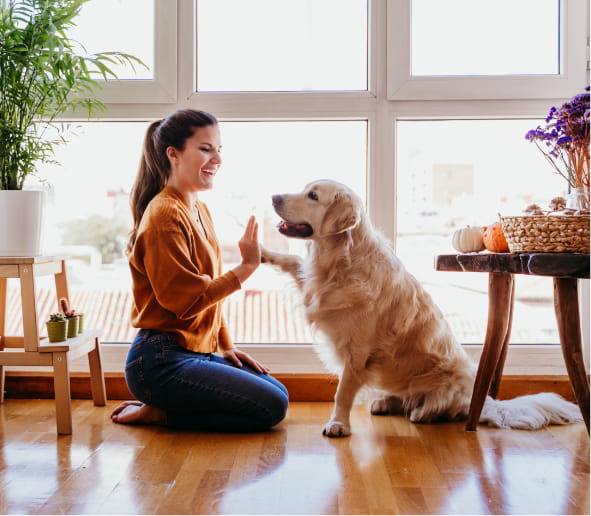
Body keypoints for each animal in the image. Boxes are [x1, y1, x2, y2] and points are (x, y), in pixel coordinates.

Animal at [262, 179, 584, 438]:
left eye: (313, 196)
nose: (274, 197)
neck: (340, 260)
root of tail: (483, 401)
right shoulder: (313, 286)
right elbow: (291, 261)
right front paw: (262, 252)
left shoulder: (358, 352)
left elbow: (343, 392)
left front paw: (338, 424)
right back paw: (385, 402)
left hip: (447, 382)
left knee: (443, 408)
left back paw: (423, 413)